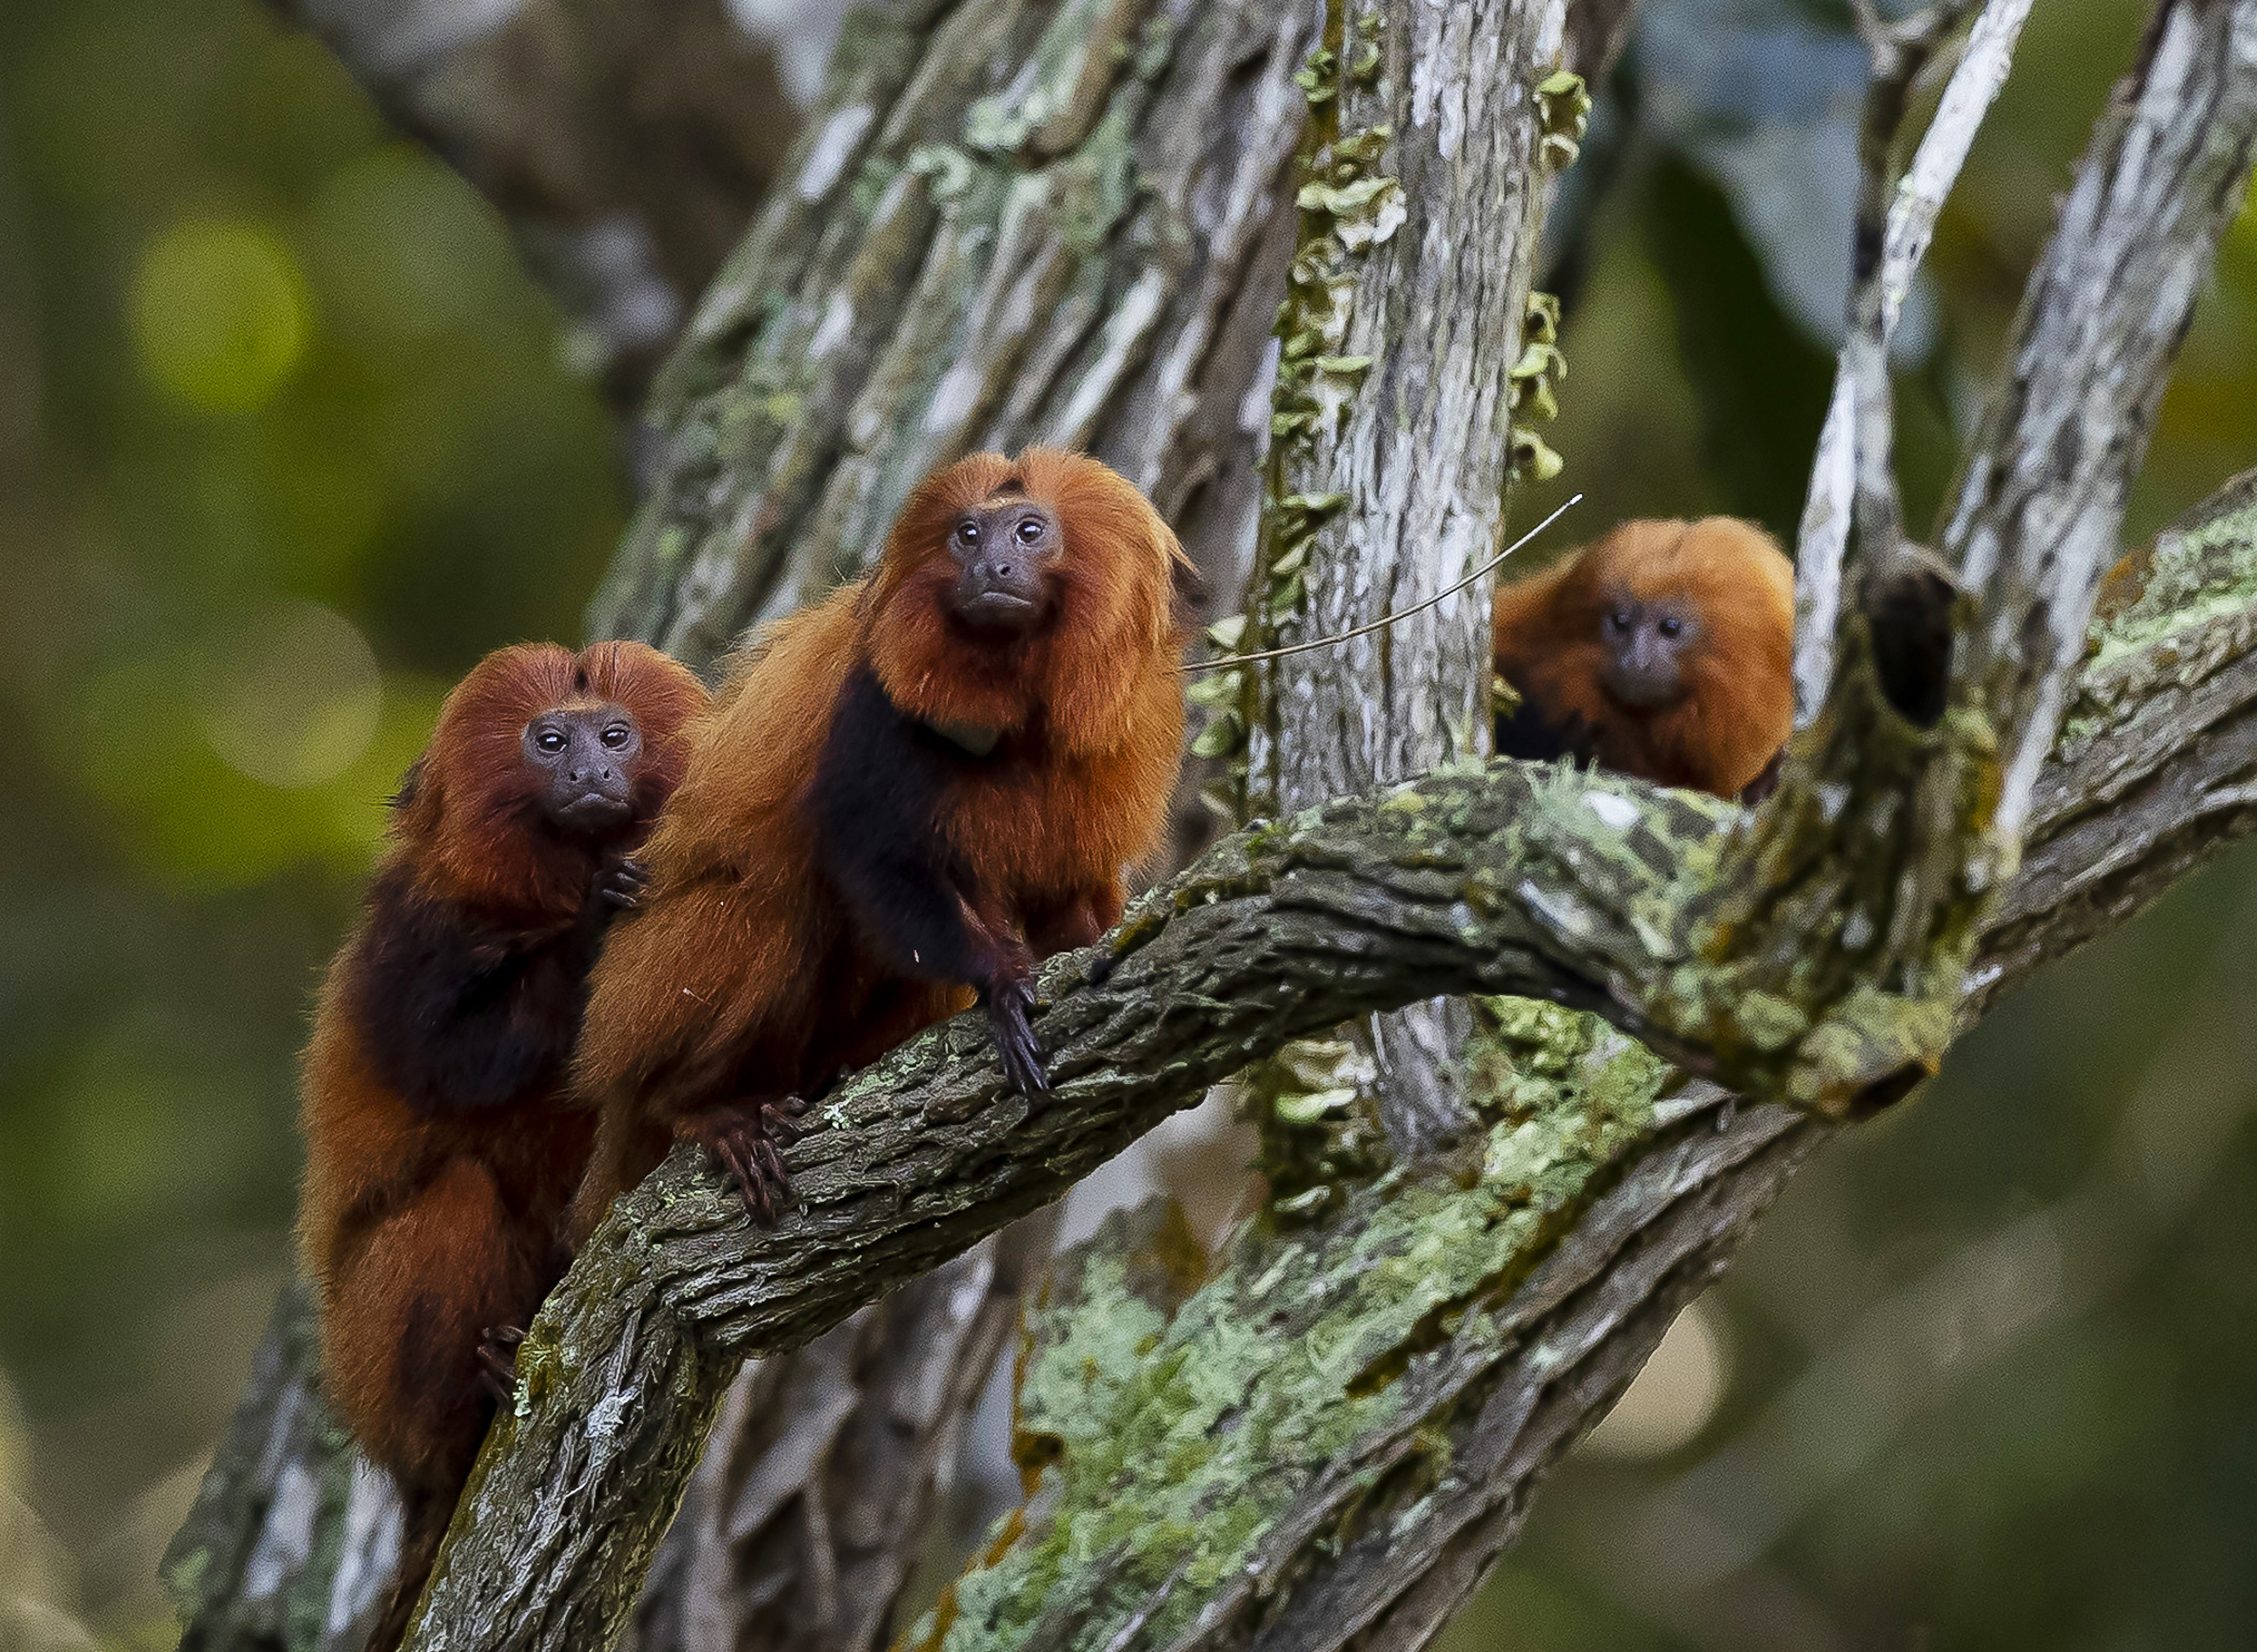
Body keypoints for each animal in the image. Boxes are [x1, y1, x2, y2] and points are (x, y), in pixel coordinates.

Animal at [295, 636, 704, 1652]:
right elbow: (454, 1063)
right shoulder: (413, 930)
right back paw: (469, 1407)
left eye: (614, 735)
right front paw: (597, 923)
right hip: (370, 1362)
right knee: (453, 1196)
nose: (590, 773)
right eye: (549, 741)